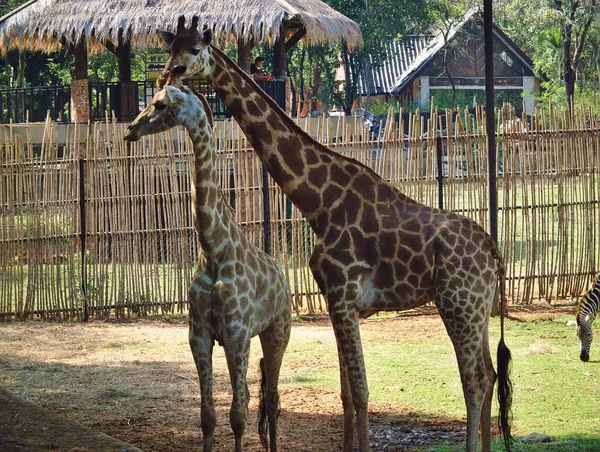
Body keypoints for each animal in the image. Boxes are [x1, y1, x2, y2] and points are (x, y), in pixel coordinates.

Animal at [123, 85, 292, 452]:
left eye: (160, 104)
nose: (130, 130)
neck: (214, 248)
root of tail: (284, 279)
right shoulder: (199, 335)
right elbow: (208, 415)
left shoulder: (237, 334)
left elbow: (238, 414)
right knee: (262, 395)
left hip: (278, 332)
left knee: (271, 397)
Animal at [158, 17, 510, 452]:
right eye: (172, 48)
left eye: (195, 50)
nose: (167, 74)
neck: (318, 204)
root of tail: (492, 250)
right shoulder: (335, 300)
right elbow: (346, 393)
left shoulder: (344, 296)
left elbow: (360, 392)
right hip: (477, 309)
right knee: (490, 374)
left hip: (460, 305)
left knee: (474, 379)